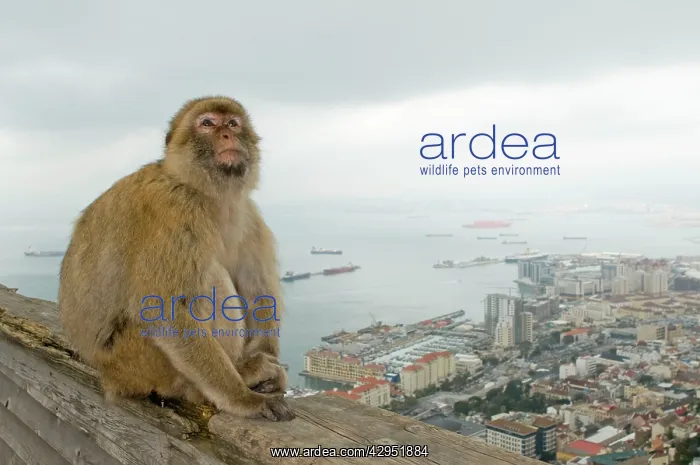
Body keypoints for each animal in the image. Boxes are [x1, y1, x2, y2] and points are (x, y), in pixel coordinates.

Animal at [58, 96, 295, 421]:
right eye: (207, 123)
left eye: (233, 123)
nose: (227, 134)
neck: (205, 193)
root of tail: (107, 374)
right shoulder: (175, 209)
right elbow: (164, 310)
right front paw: (244, 399)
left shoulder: (248, 215)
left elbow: (258, 292)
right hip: (139, 359)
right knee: (210, 278)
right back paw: (234, 376)